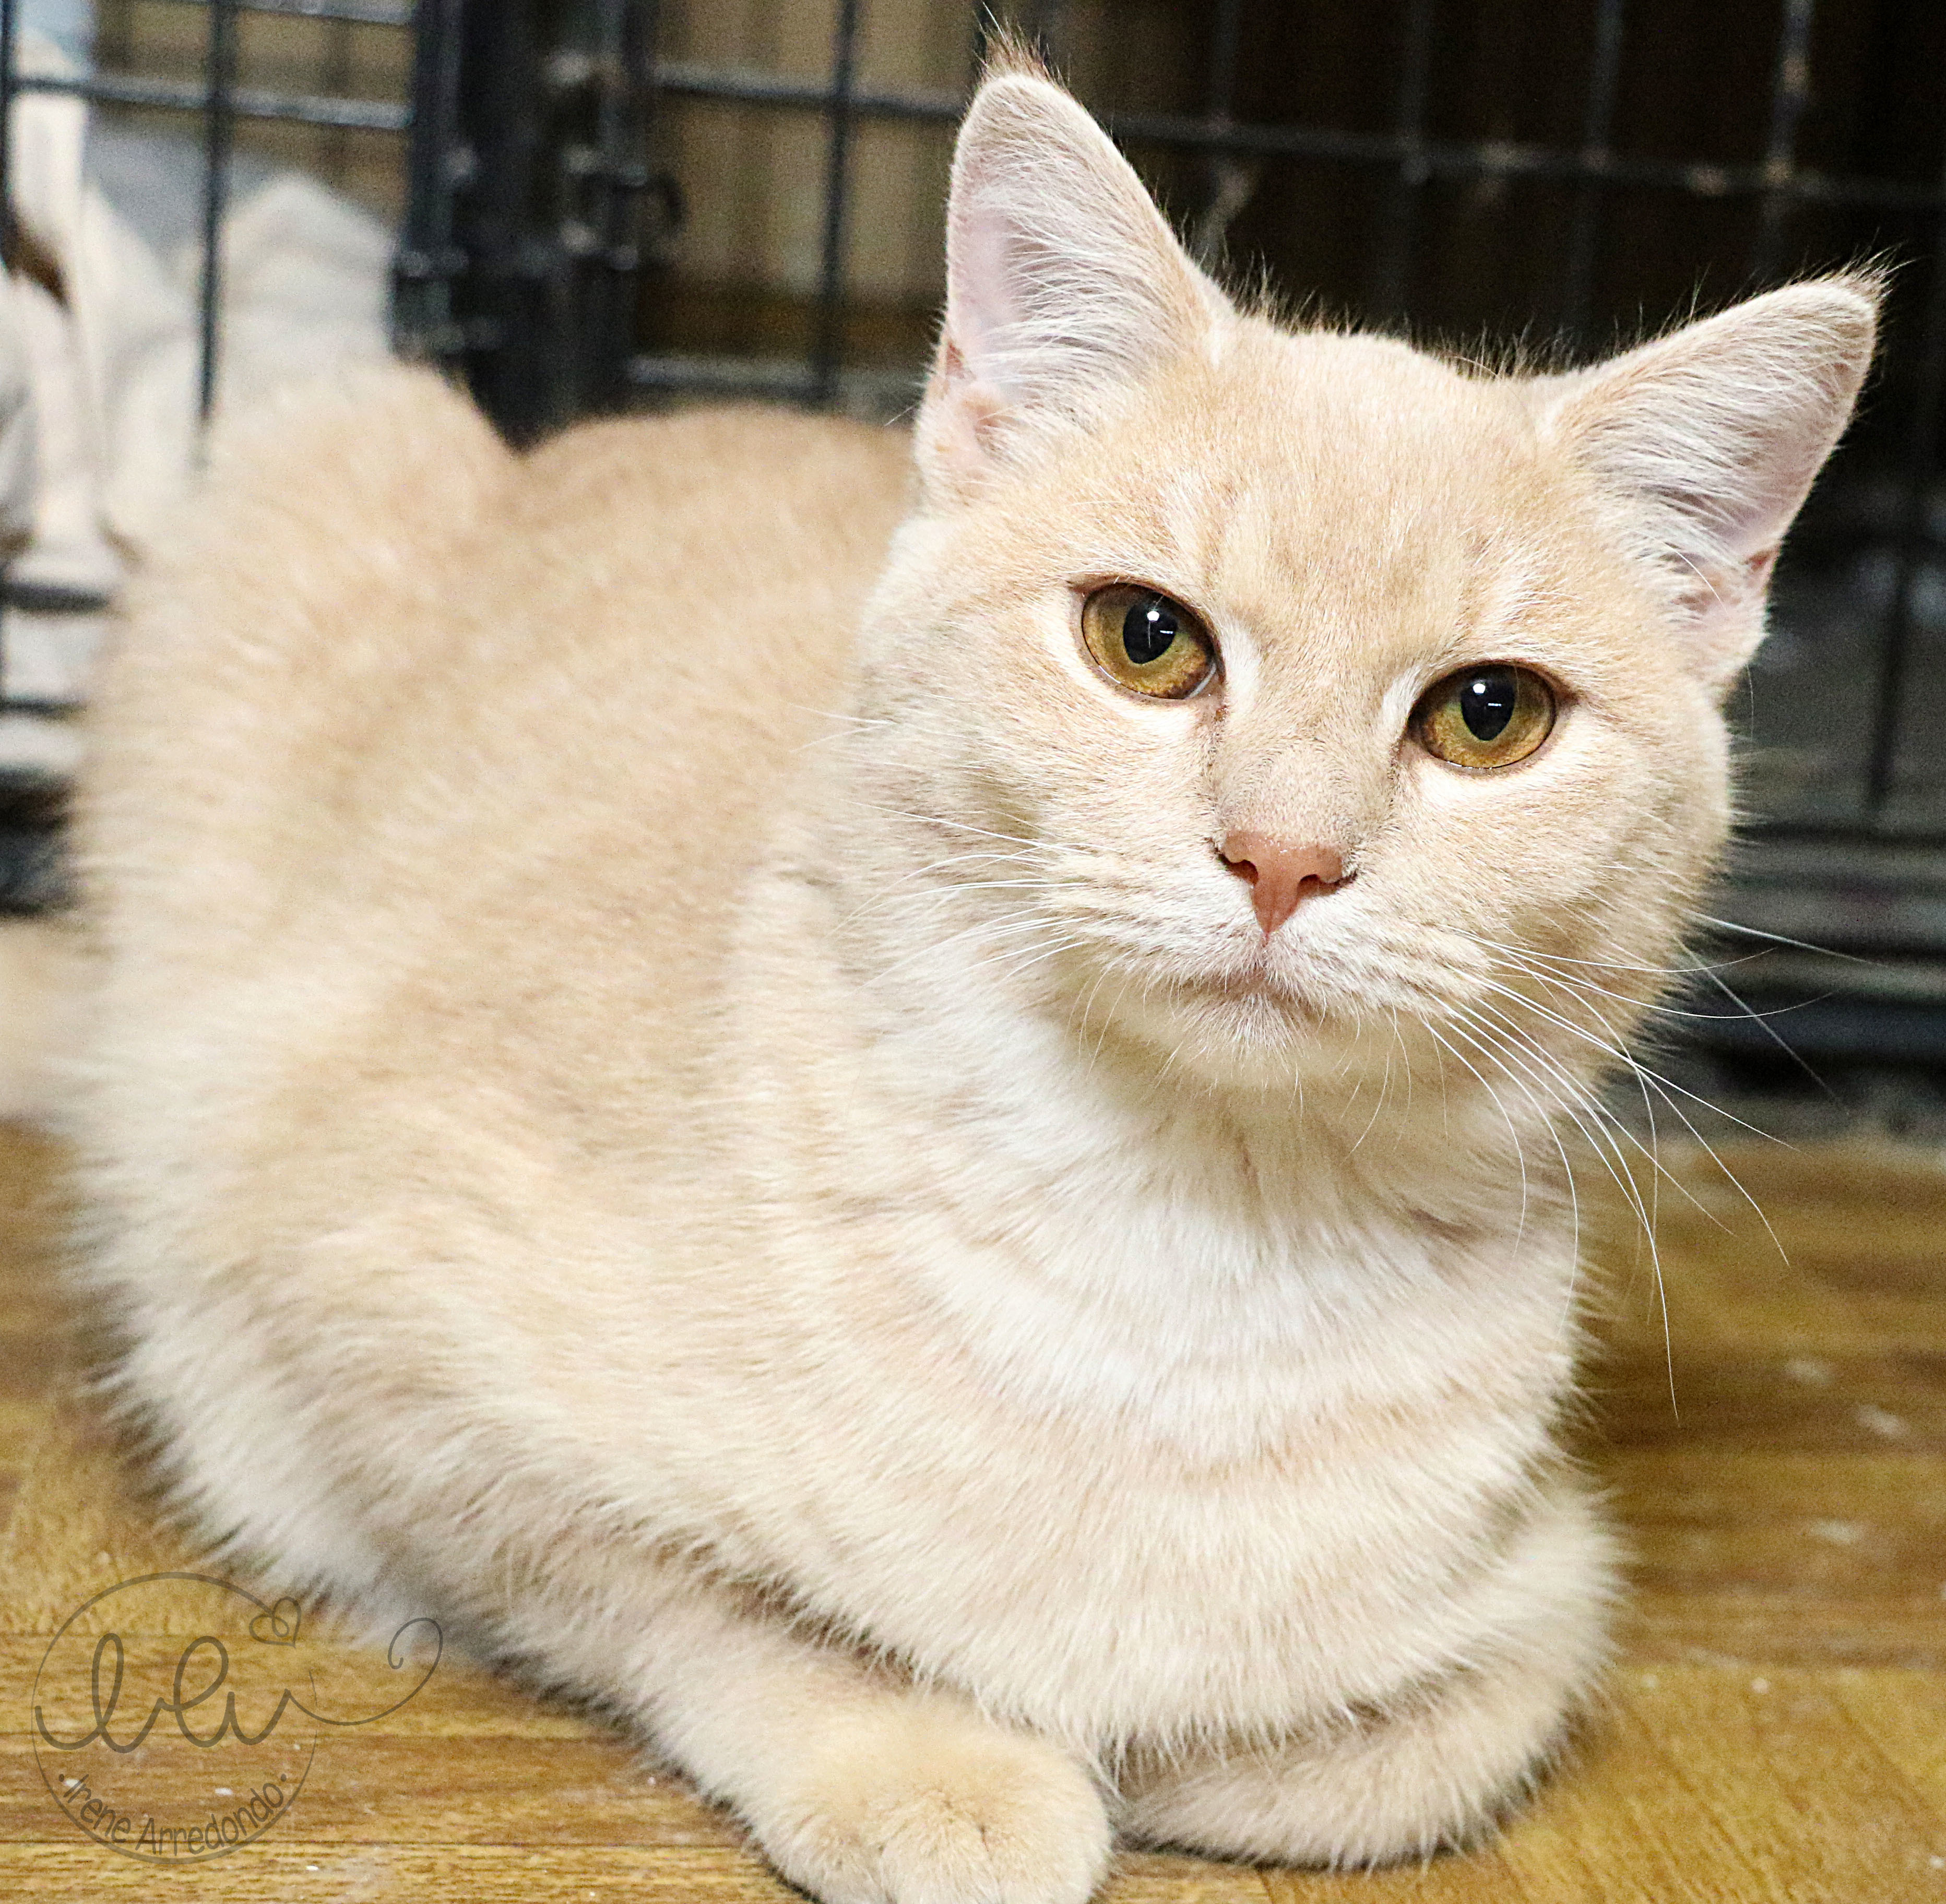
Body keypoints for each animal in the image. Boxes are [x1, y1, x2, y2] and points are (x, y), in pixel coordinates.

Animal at [57, 52, 1868, 1898]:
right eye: (1147, 640)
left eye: (1488, 716)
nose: (1282, 856)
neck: (1184, 1254)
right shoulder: (352, 1315)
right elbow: (693, 1596)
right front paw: (933, 1762)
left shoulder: (1548, 1586)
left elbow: (1400, 1739)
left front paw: (1170, 1743)